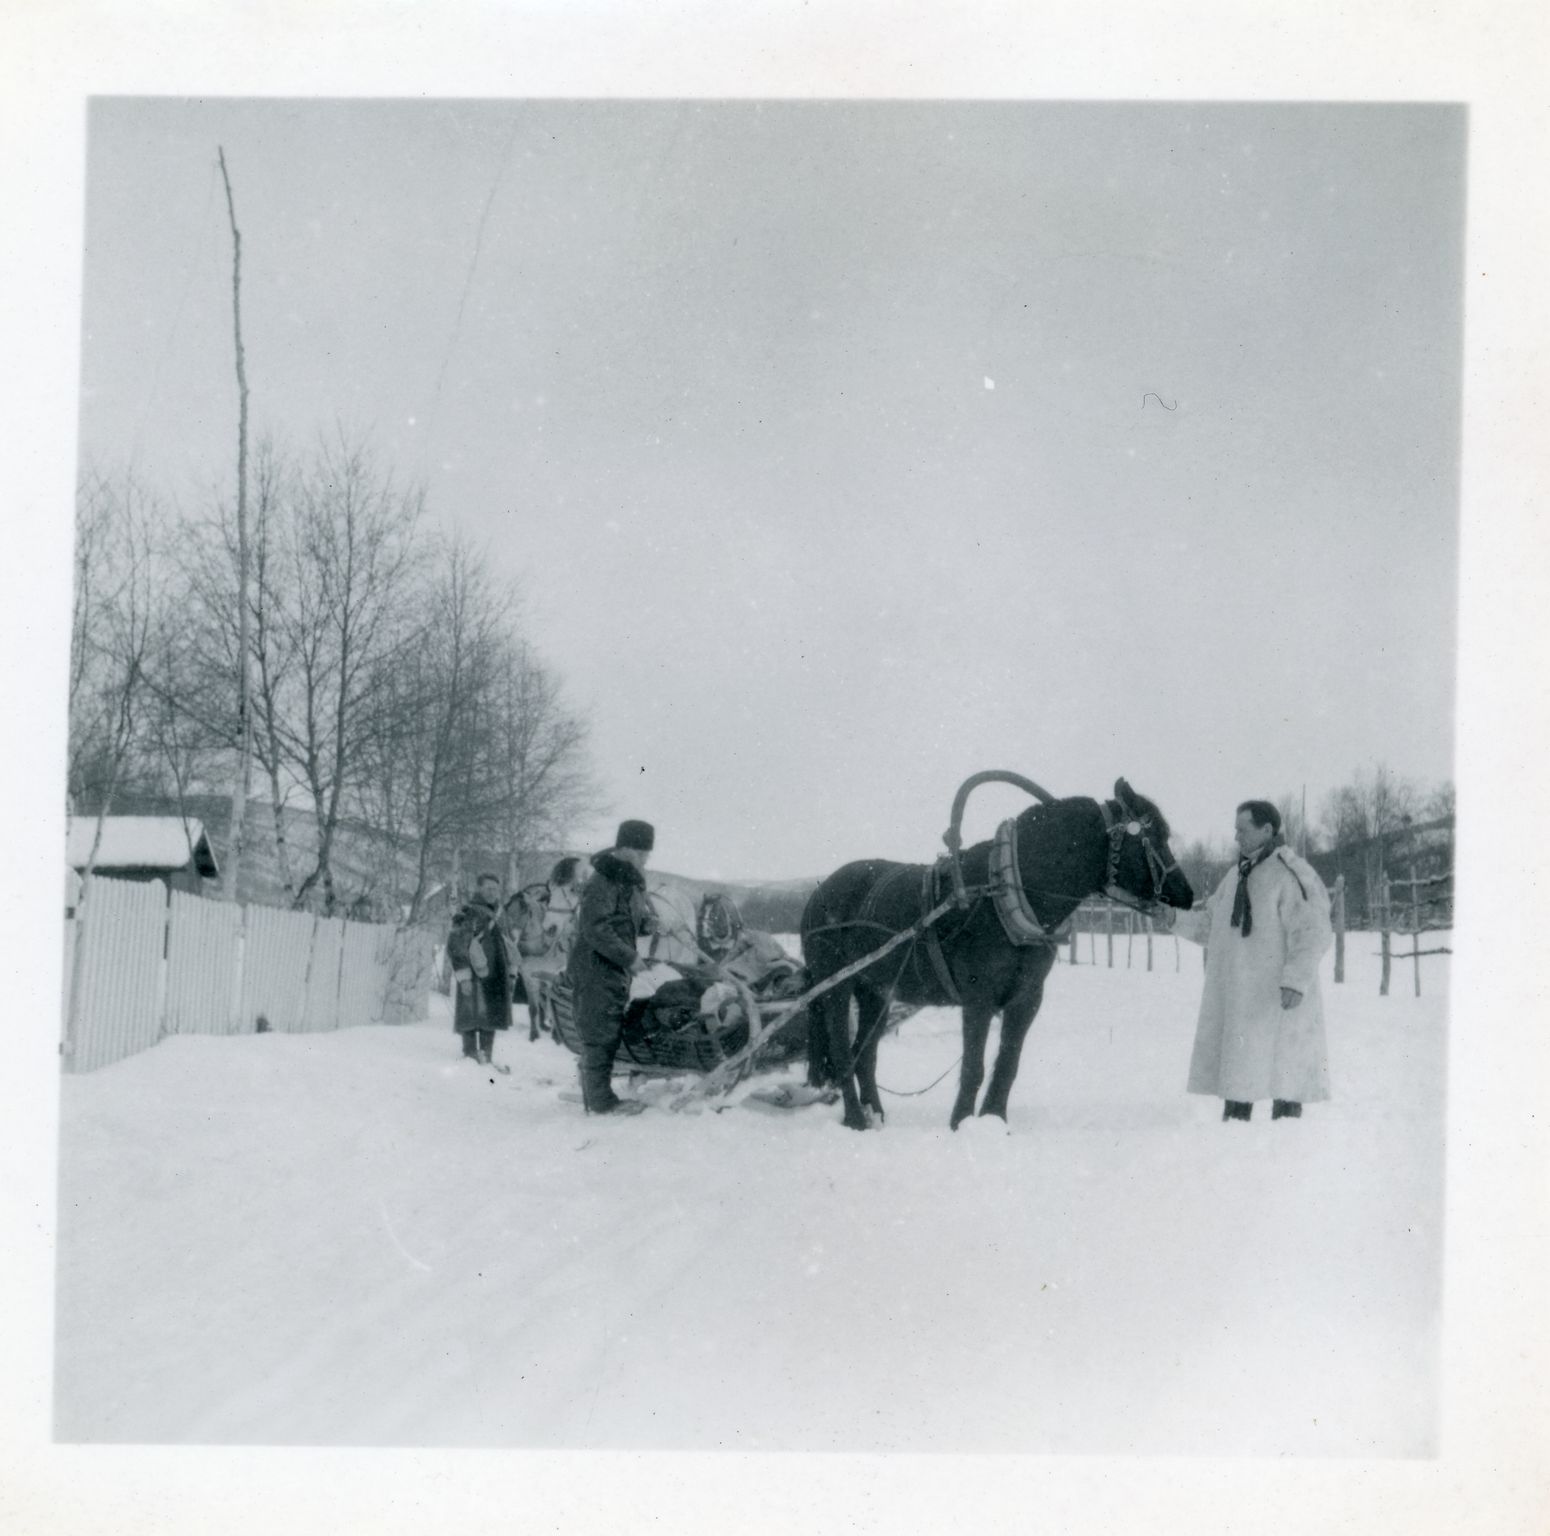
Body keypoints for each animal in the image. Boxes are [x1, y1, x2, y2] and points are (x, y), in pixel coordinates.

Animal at [806, 781, 1190, 1128]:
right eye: (1155, 836)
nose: (1187, 893)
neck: (1007, 893)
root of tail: (818, 893)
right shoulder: (979, 997)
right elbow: (973, 1067)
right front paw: (961, 1123)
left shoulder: (1026, 998)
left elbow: (1007, 1064)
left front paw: (994, 1121)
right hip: (835, 987)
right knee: (842, 1051)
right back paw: (856, 1119)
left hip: (875, 991)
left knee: (865, 1053)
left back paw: (876, 1116)